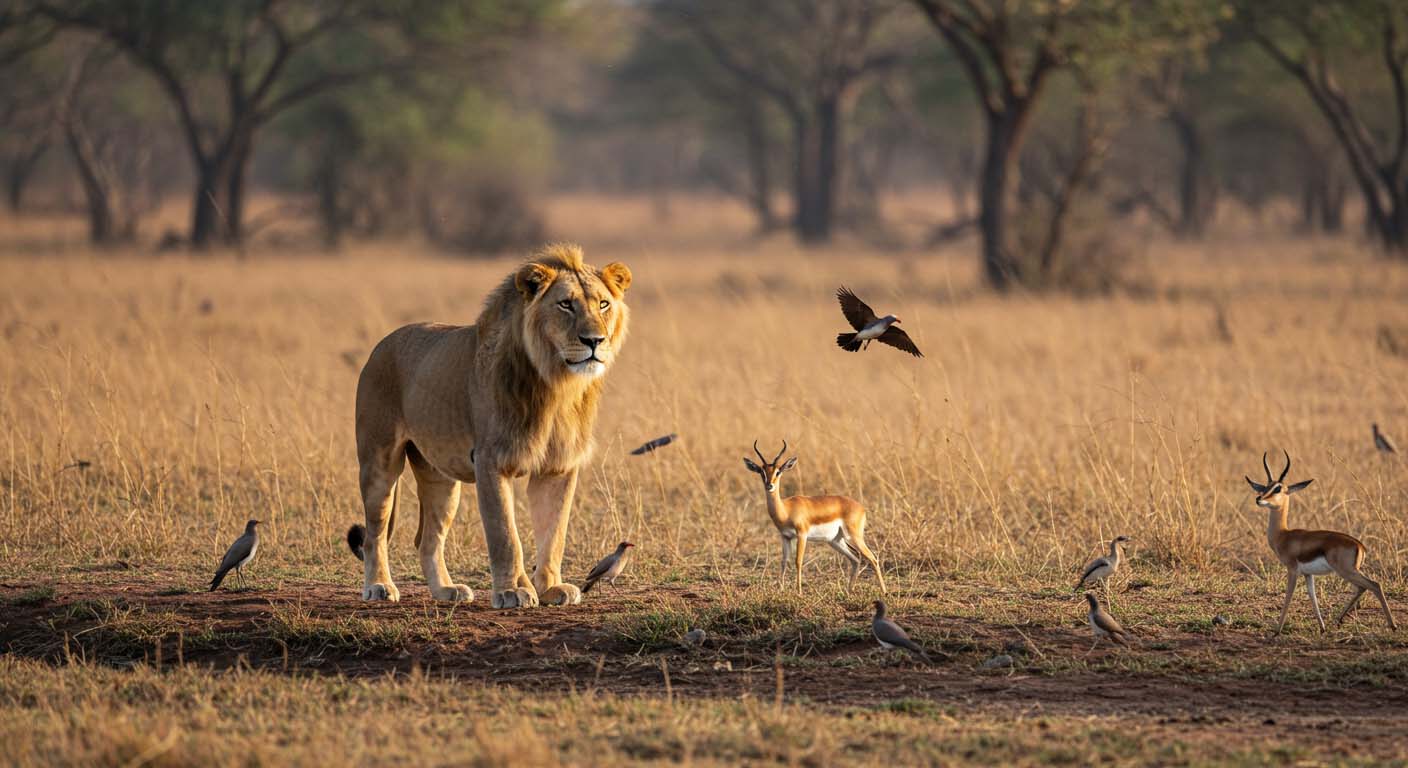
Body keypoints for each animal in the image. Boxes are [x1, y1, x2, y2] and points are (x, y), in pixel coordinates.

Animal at [346, 243, 631, 607]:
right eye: (566, 304)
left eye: (603, 304)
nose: (594, 340)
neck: (557, 383)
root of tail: (382, 344)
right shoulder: (491, 459)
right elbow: (505, 535)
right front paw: (512, 591)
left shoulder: (559, 467)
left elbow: (554, 534)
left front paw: (551, 588)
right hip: (379, 462)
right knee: (375, 534)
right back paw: (379, 586)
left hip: (440, 476)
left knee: (427, 539)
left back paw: (447, 591)